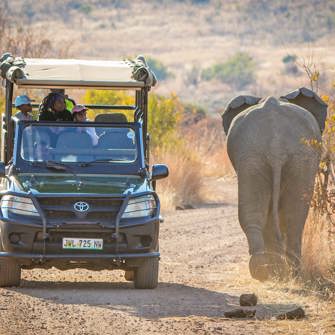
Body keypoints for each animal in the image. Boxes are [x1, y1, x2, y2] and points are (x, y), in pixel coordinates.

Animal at [223, 87, 328, 280]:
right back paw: (287, 271)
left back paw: (265, 269)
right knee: (294, 215)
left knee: (262, 213)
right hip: (290, 158)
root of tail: (275, 147)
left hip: (257, 158)